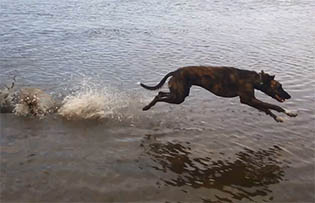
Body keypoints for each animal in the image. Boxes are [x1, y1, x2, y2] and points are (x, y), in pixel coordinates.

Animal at [141, 66, 298, 122]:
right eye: (279, 87)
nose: (289, 96)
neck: (255, 80)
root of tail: (174, 71)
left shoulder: (250, 100)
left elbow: (266, 109)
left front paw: (278, 118)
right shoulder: (248, 99)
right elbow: (273, 106)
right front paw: (289, 112)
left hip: (178, 94)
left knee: (160, 93)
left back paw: (148, 106)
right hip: (179, 97)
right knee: (158, 96)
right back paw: (147, 107)